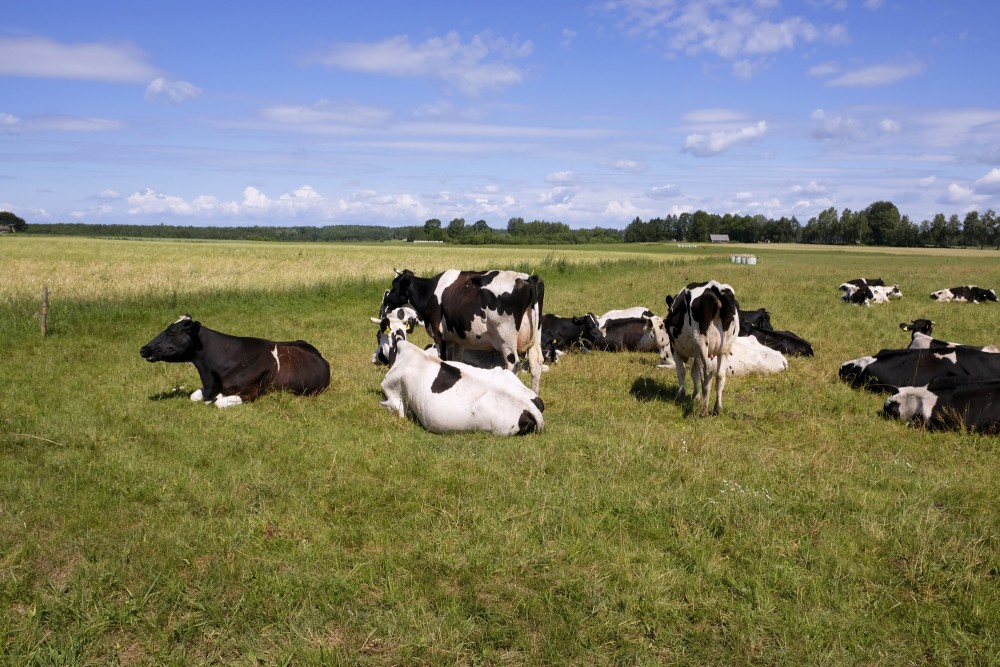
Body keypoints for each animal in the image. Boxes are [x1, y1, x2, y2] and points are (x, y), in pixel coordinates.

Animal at [380, 268, 548, 394]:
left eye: (395, 285)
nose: (386, 301)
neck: (429, 292)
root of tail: (527, 278)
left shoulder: (439, 336)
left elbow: (443, 360)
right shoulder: (458, 339)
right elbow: (457, 361)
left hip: (506, 338)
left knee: (514, 365)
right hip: (535, 337)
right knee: (536, 364)